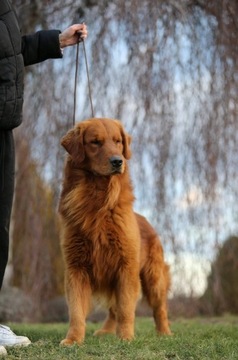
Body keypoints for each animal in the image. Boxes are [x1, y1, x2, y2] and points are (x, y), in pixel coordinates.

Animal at [58, 118, 172, 346]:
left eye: (118, 141)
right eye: (95, 142)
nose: (118, 161)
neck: (98, 200)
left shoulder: (126, 267)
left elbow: (126, 309)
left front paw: (126, 337)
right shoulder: (76, 268)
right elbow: (76, 311)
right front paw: (73, 339)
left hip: (153, 278)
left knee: (159, 309)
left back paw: (165, 333)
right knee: (113, 310)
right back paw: (106, 331)